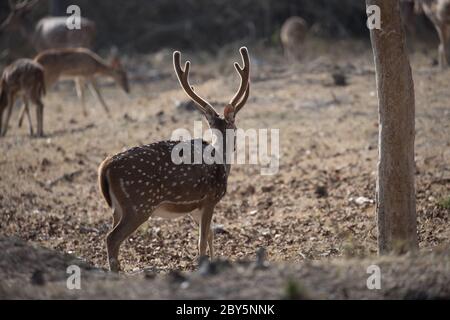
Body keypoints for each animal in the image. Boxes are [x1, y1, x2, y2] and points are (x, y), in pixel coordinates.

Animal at [97, 47, 250, 272]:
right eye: (236, 127)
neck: (221, 159)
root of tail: (105, 166)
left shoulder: (195, 208)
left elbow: (210, 236)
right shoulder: (210, 198)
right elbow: (202, 240)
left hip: (117, 207)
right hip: (139, 203)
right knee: (112, 238)